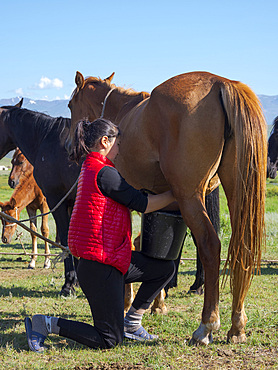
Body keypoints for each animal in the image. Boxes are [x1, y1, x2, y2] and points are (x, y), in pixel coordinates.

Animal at [0, 99, 79, 294]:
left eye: (20, 161)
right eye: (11, 161)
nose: (4, 239)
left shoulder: (52, 201)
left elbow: (53, 232)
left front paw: (68, 283)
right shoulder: (36, 207)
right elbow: (35, 231)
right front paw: (33, 261)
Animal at [67, 71, 268, 344]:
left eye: (70, 105)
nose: (71, 147)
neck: (122, 111)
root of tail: (221, 82)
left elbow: (131, 243)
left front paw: (129, 301)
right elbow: (152, 248)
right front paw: (157, 303)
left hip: (191, 197)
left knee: (210, 245)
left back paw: (206, 326)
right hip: (237, 192)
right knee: (241, 249)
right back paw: (237, 327)